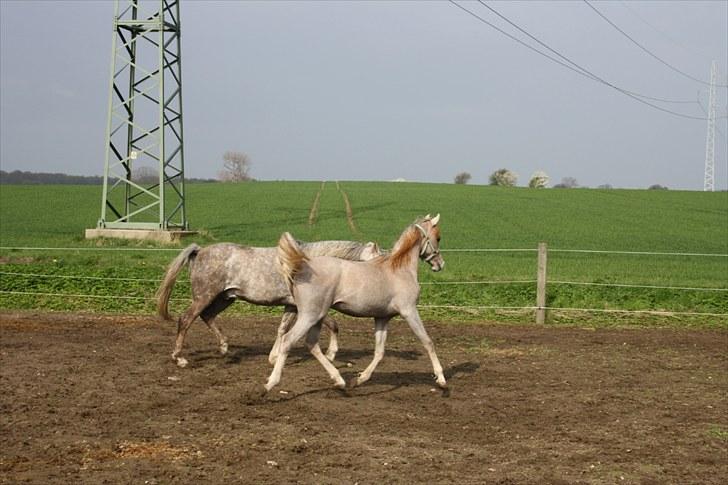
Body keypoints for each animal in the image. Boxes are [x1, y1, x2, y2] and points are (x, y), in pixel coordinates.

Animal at [154, 238, 382, 366]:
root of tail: (199, 251)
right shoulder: (308, 306)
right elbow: (333, 324)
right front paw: (332, 354)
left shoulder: (291, 305)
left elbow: (282, 329)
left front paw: (274, 357)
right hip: (206, 296)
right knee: (186, 319)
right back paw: (180, 358)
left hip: (225, 297)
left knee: (207, 316)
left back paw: (225, 348)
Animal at [270, 216, 446, 394]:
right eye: (438, 237)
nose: (440, 264)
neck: (400, 270)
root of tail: (301, 268)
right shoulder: (409, 311)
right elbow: (428, 342)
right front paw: (441, 380)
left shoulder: (382, 318)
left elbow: (379, 352)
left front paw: (360, 379)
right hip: (309, 316)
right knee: (288, 340)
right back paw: (270, 384)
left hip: (317, 317)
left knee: (311, 344)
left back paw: (339, 380)